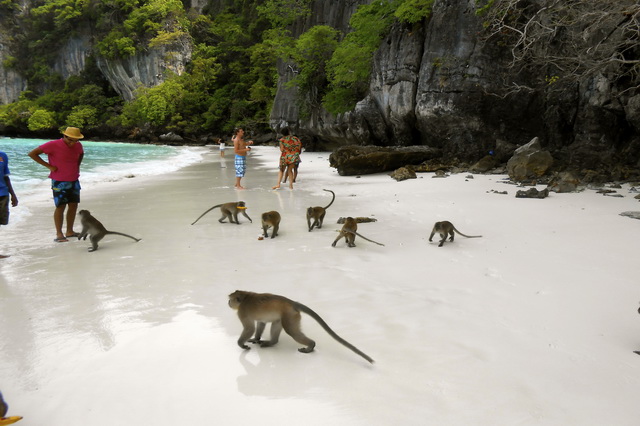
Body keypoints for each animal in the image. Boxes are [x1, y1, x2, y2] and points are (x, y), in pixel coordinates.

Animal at [229, 290, 376, 362]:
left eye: (230, 299)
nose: (228, 303)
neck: (245, 297)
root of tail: (292, 303)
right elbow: (261, 323)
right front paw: (255, 339)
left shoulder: (242, 312)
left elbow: (249, 328)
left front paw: (242, 345)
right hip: (285, 316)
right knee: (277, 324)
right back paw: (272, 342)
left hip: (290, 316)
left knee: (292, 332)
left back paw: (311, 345)